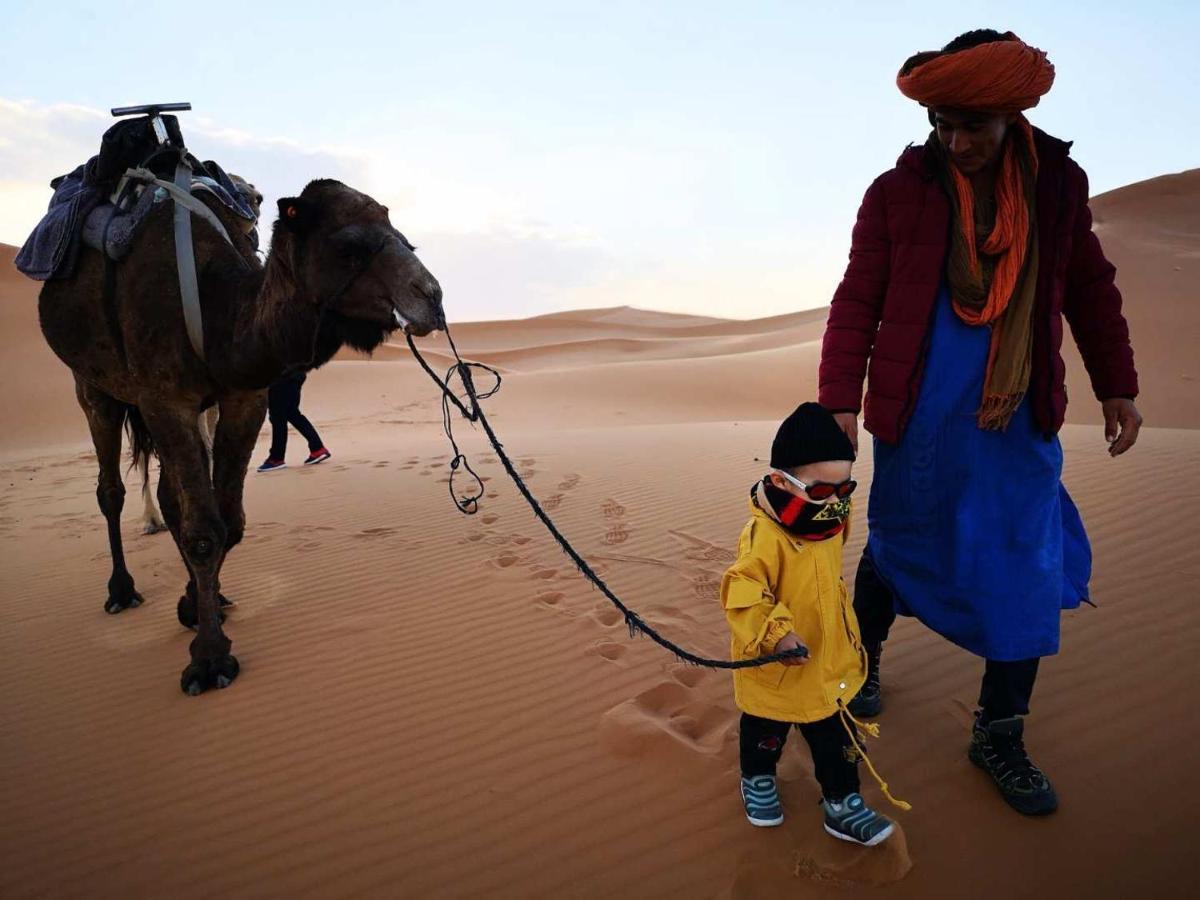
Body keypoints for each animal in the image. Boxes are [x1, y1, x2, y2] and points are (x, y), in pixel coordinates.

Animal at [42, 177, 448, 696]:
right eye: (349, 247)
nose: (432, 297)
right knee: (110, 490)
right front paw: (209, 660)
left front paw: (197, 607)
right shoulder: (162, 397)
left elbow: (228, 522)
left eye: (402, 236)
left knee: (169, 495)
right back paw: (121, 590)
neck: (215, 307)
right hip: (93, 384)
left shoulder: (243, 398)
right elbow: (203, 532)